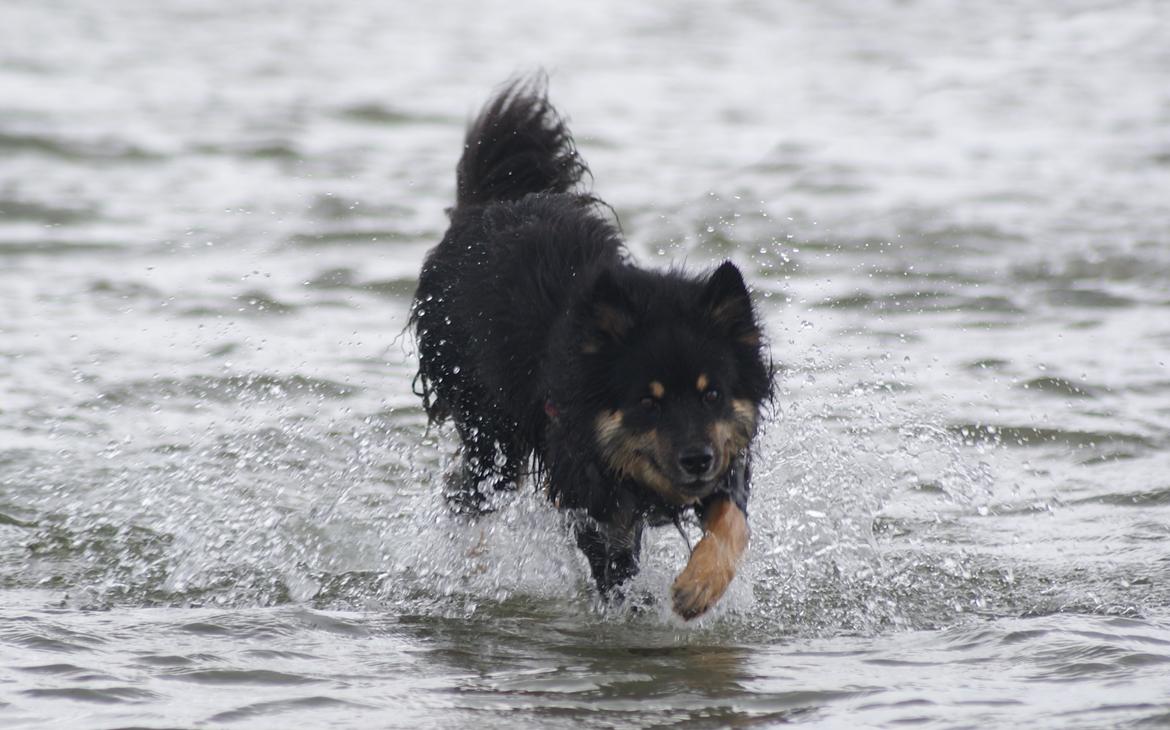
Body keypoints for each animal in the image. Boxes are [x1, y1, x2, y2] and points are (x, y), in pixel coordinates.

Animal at [407, 77, 772, 617]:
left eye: (712, 394)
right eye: (647, 401)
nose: (697, 460)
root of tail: (486, 206)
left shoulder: (726, 452)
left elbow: (733, 523)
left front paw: (698, 586)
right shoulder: (591, 493)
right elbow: (617, 573)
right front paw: (638, 610)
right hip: (491, 432)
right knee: (467, 495)